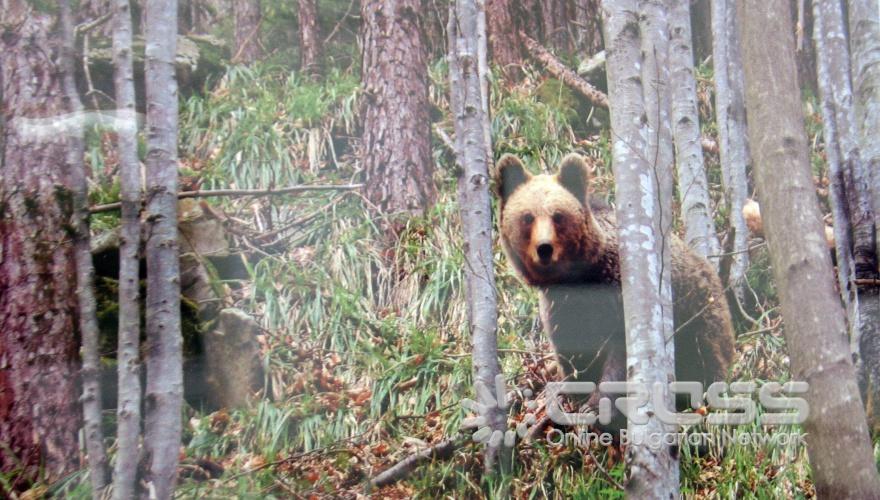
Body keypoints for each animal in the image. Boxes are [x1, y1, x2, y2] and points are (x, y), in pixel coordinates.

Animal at [496, 153, 736, 426]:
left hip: (697, 314)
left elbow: (620, 355)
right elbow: (574, 354)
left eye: (558, 215)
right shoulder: (561, 308)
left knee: (706, 357)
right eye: (527, 217)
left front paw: (597, 406)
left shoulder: (617, 295)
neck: (580, 278)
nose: (544, 248)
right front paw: (575, 394)